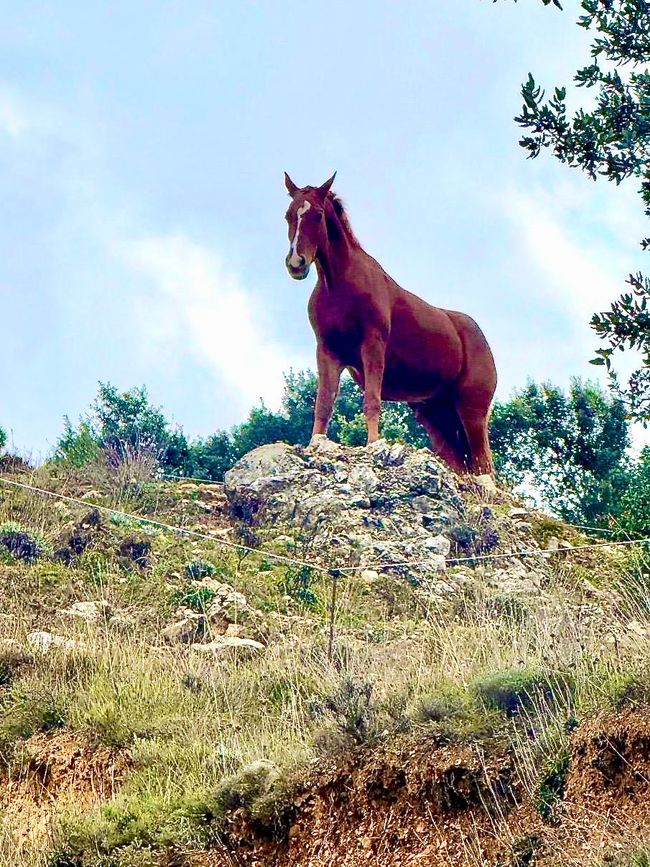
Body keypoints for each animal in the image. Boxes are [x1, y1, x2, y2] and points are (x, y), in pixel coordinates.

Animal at [283, 172, 497, 478]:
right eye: (289, 214)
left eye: (318, 214)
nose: (296, 263)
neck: (340, 286)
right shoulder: (327, 351)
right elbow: (323, 403)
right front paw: (316, 445)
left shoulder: (372, 344)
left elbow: (372, 401)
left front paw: (373, 445)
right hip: (435, 413)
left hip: (472, 410)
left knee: (484, 465)